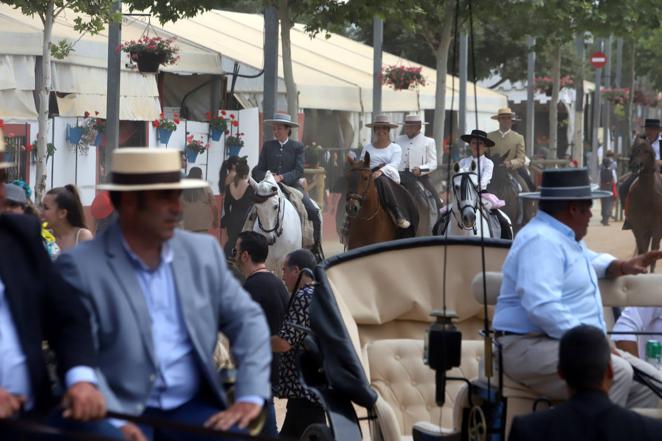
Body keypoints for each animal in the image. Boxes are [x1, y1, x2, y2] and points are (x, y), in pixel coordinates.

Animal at [624, 138, 662, 268]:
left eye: (646, 151)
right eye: (634, 149)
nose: (634, 165)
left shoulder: (657, 229)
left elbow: (654, 253)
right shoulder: (638, 228)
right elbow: (643, 252)